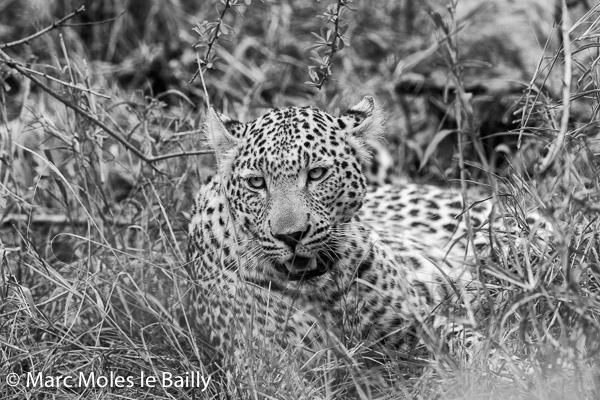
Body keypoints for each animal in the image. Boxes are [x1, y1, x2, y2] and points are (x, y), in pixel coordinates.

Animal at [186, 96, 510, 368]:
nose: (291, 235)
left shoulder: (417, 323)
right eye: (256, 182)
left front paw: (508, 368)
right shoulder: (264, 368)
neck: (321, 290)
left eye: (316, 174)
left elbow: (468, 340)